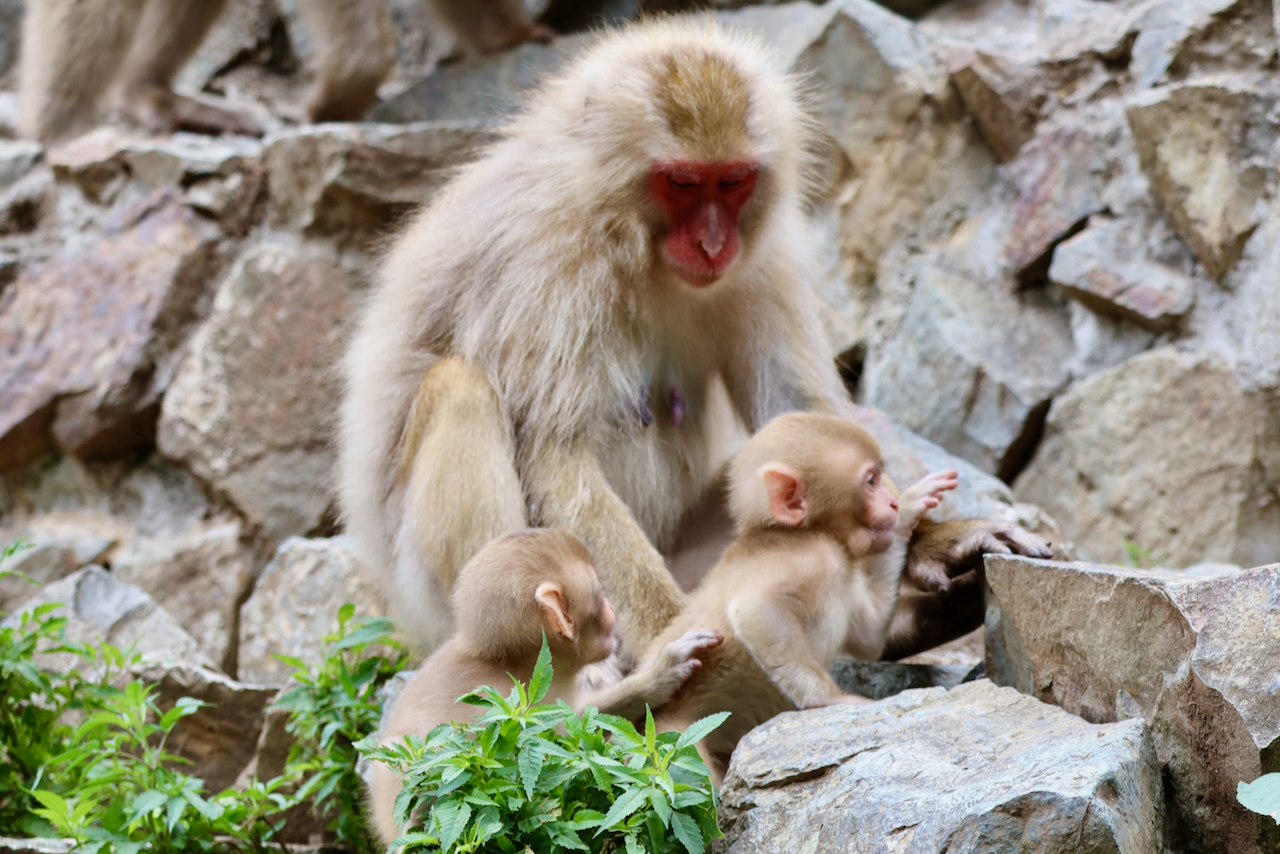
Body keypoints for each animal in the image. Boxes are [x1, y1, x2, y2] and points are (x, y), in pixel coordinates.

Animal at [338, 19, 1053, 676]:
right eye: (682, 182)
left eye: (732, 181)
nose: (713, 244)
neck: (632, 238)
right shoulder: (549, 262)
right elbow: (557, 456)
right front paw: (666, 643)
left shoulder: (761, 255)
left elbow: (799, 419)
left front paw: (936, 537)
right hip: (428, 597)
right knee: (460, 389)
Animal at [367, 528, 724, 845]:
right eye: (598, 593)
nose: (610, 607)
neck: (514, 665)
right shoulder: (501, 706)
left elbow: (581, 720)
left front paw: (659, 677)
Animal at [639, 413, 957, 781]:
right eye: (871, 482)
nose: (891, 503)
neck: (796, 531)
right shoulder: (814, 556)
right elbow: (753, 609)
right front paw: (829, 700)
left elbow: (869, 639)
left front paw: (908, 511)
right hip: (671, 741)